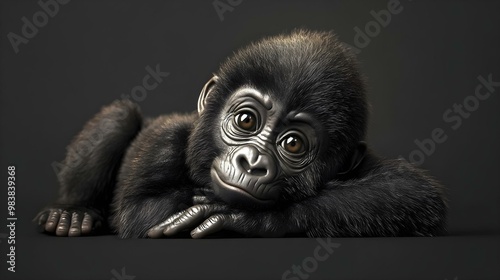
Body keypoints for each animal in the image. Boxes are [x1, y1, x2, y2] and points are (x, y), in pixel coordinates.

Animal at [37, 29, 448, 237]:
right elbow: (140, 213)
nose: (252, 163)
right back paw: (72, 212)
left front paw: (251, 218)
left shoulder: (361, 162)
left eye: (293, 143)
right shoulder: (163, 142)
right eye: (247, 121)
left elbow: (411, 193)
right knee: (120, 117)